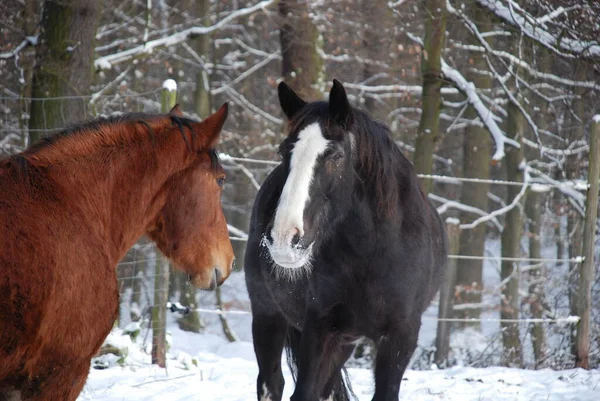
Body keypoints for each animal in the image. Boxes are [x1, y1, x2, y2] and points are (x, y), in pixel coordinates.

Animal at [244, 80, 446, 400]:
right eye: (283, 151)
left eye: (336, 156)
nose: (284, 238)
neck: (373, 253)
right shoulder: (320, 329)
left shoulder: (400, 337)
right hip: (268, 315)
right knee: (271, 383)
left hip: (344, 343)